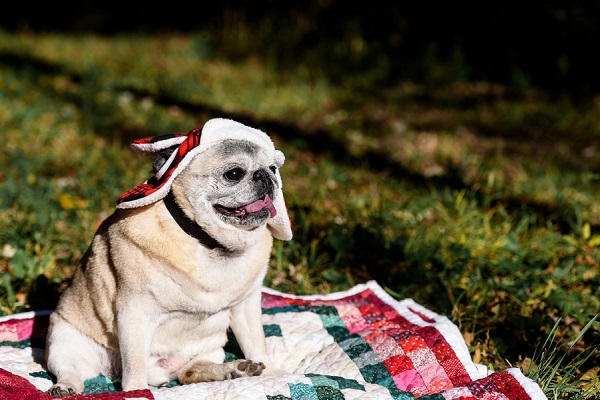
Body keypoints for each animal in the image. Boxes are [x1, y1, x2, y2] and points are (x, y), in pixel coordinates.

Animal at [44, 119, 292, 396]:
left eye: (273, 168)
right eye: (234, 174)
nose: (266, 176)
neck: (209, 242)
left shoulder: (246, 306)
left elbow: (256, 342)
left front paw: (270, 373)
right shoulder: (134, 313)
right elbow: (135, 364)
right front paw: (137, 392)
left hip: (210, 349)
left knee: (189, 372)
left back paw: (235, 369)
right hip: (63, 341)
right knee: (72, 370)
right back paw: (65, 387)